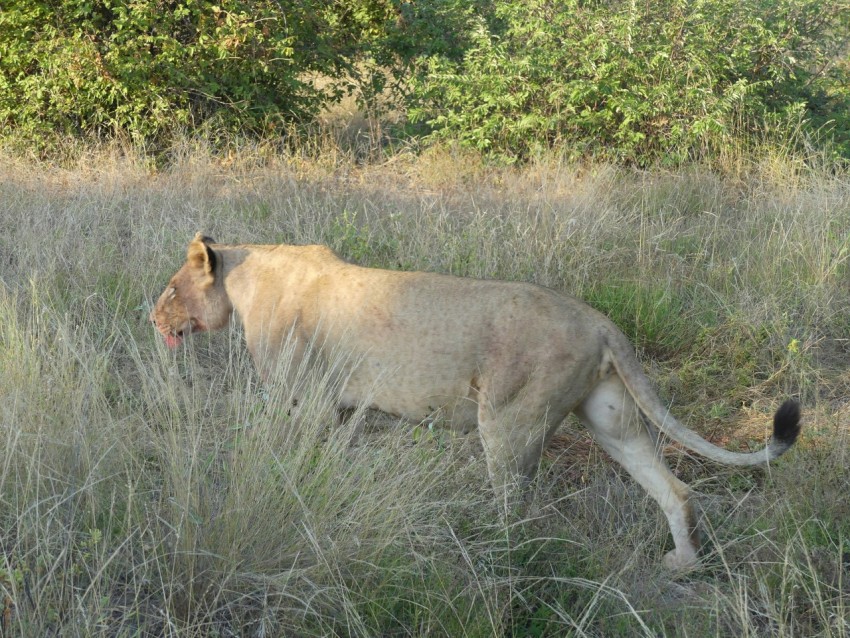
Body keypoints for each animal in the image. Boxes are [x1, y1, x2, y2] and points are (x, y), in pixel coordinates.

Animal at [149, 234, 800, 568]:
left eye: (173, 289)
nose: (152, 317)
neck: (245, 275)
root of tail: (600, 321)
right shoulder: (336, 407)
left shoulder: (301, 398)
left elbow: (289, 456)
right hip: (611, 420)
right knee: (676, 488)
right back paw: (683, 564)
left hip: (507, 422)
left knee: (517, 509)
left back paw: (483, 551)